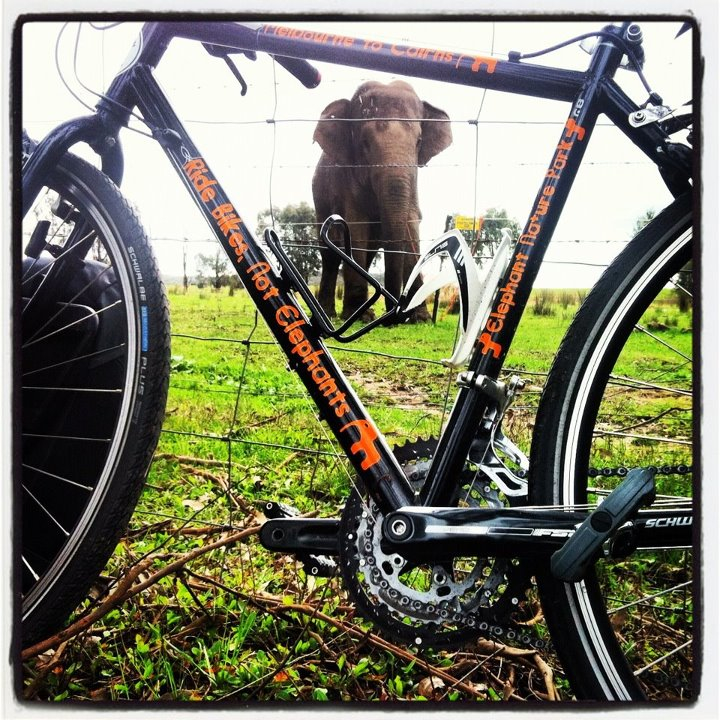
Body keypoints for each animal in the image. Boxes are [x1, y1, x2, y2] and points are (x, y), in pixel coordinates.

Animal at [312, 80, 452, 322]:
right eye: (364, 143)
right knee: (330, 254)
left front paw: (421, 318)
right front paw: (362, 318)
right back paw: (331, 314)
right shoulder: (346, 177)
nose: (395, 317)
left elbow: (410, 223)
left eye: (419, 142)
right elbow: (356, 225)